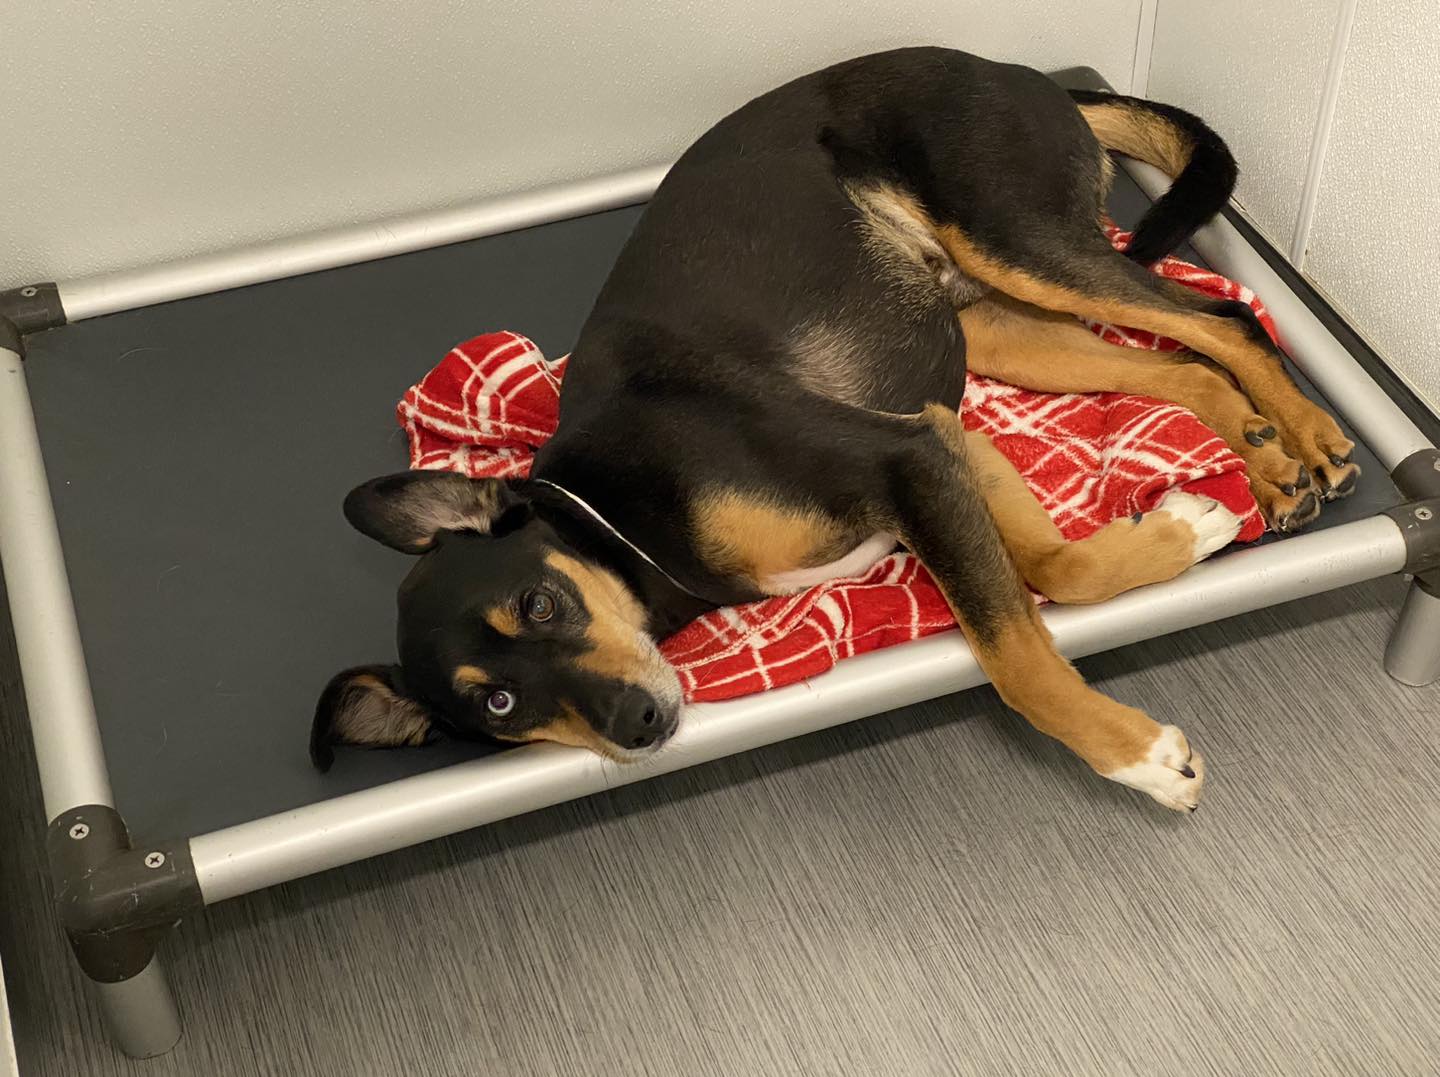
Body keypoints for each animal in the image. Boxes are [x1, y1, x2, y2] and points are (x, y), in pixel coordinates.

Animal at [311, 47, 1359, 811]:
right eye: (498, 702)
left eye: (537, 604)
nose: (637, 722)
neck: (623, 517)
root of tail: (1020, 71)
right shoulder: (940, 439)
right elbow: (1055, 570)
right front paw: (1189, 525)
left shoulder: (902, 458)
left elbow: (1014, 657)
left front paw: (1139, 757)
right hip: (993, 326)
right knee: (1179, 362)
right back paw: (1265, 460)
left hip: (1023, 245)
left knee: (1223, 320)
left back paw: (1311, 435)